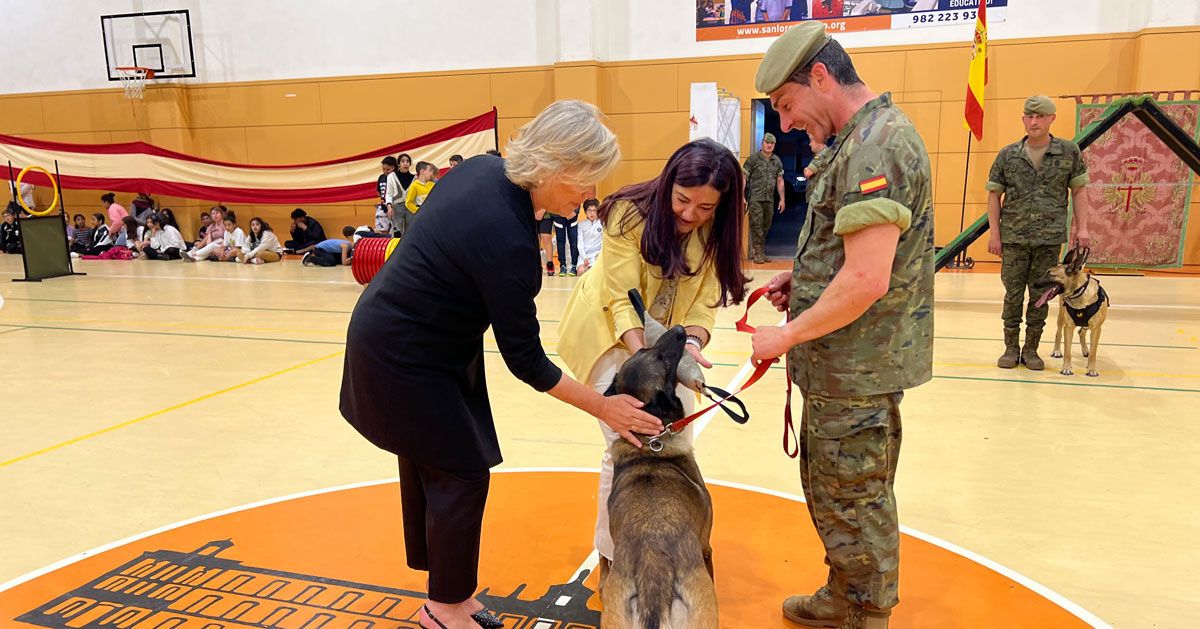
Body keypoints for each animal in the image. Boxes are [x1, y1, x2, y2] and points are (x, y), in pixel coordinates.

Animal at [604, 324, 715, 629]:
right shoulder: (706, 546)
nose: (678, 329)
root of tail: (654, 570)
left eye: (644, 348)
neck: (648, 440)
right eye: (663, 360)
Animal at [1032, 246, 1104, 376]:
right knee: (1058, 333)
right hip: (1061, 318)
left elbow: (1093, 352)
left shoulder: (1096, 329)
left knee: (1082, 332)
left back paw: (1086, 350)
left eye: (1050, 274)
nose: (1034, 284)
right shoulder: (1068, 327)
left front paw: (1091, 369)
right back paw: (1057, 351)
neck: (1079, 293)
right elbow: (1067, 351)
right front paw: (1066, 368)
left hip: (1087, 326)